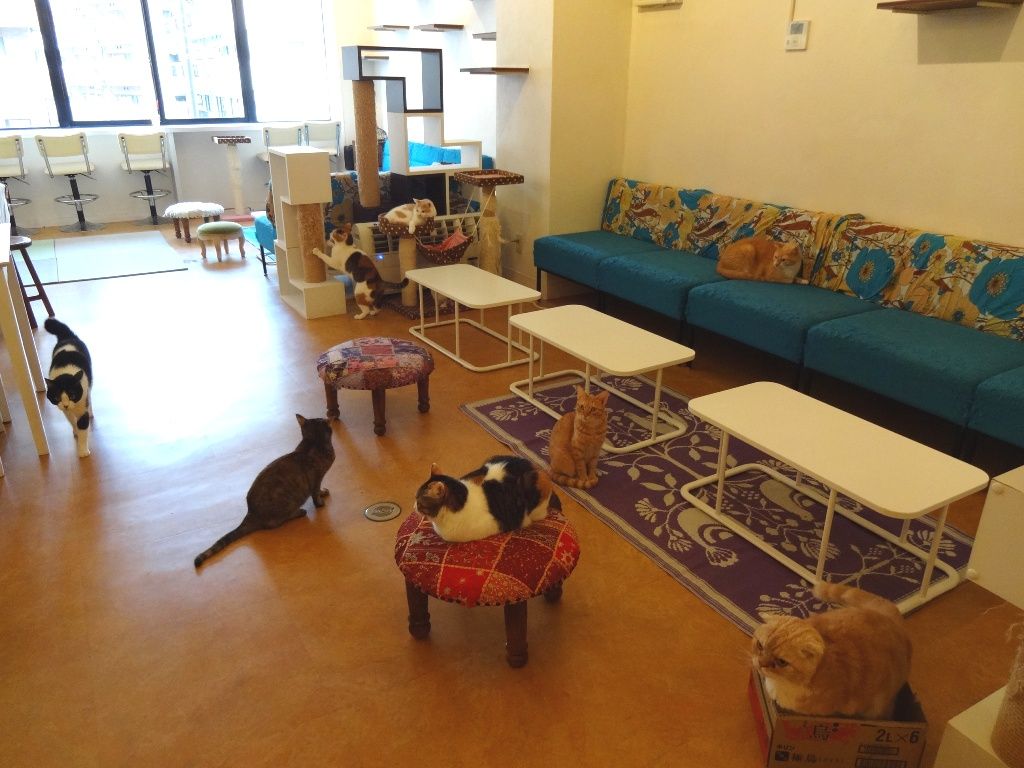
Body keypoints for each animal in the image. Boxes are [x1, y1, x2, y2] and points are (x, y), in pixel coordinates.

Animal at [43, 318, 93, 458]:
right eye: (56, 397)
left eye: (72, 395)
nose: (66, 405)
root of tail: (67, 337)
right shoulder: (65, 412)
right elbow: (72, 422)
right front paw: (75, 431)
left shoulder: (82, 408)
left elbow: (83, 429)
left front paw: (83, 451)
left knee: (90, 396)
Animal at [194, 414, 335, 568]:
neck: (313, 443)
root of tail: (250, 512)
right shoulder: (317, 478)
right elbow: (315, 493)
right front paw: (320, 502)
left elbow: (319, 490)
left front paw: (323, 492)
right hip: (288, 503)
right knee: (274, 523)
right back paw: (299, 512)